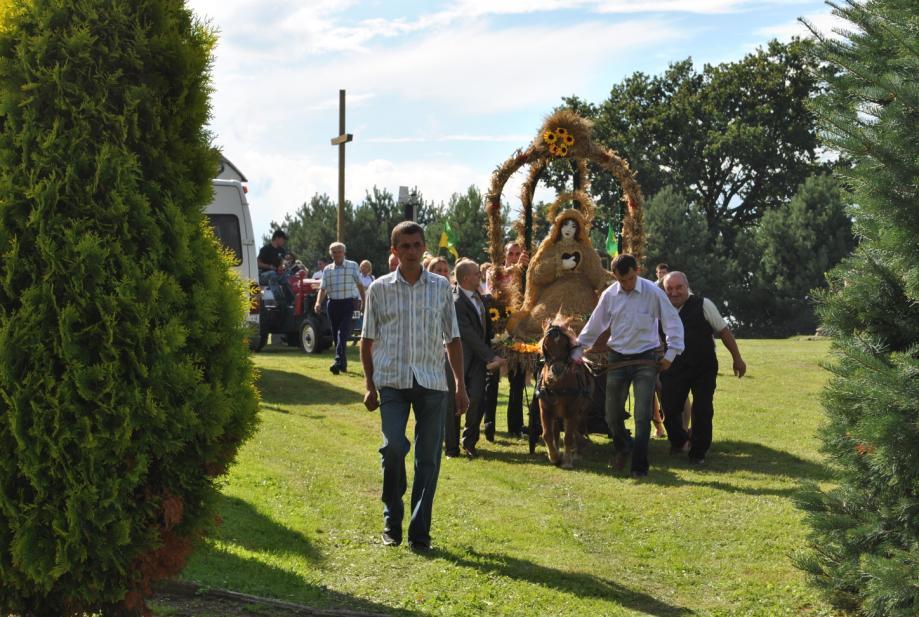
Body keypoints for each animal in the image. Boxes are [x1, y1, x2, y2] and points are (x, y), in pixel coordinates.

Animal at [536, 318, 592, 466]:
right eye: (546, 344)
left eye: (565, 344)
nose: (557, 370)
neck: (559, 386)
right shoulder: (545, 409)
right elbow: (547, 434)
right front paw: (554, 456)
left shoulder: (573, 411)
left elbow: (568, 436)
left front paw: (567, 461)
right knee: (556, 430)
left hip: (581, 411)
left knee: (578, 428)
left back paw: (578, 450)